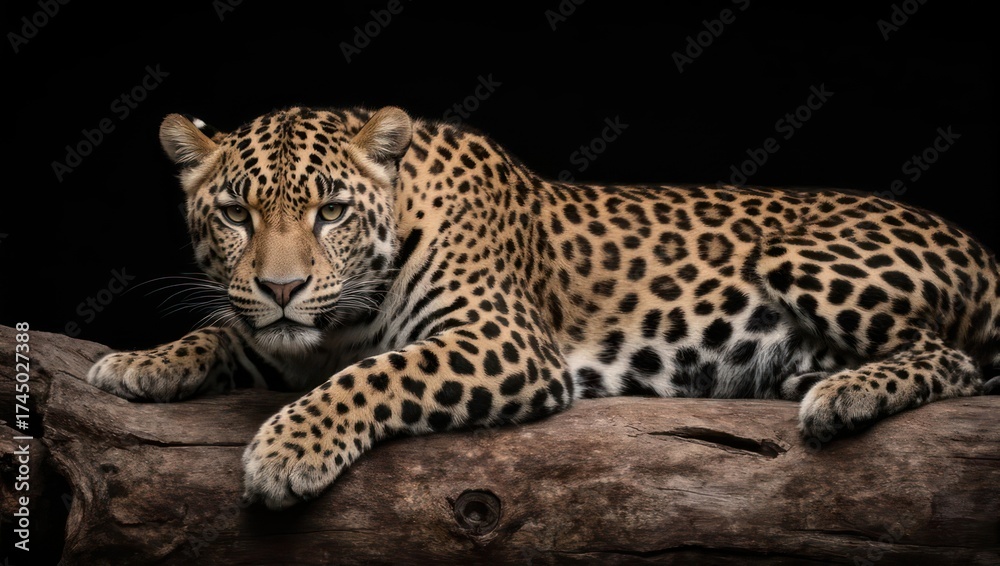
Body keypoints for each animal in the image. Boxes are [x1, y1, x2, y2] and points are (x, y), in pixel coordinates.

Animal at [87, 105, 1000, 509]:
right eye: (236, 213)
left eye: (332, 212)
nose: (281, 287)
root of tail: (982, 248)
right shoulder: (286, 331)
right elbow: (225, 330)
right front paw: (137, 363)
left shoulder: (501, 340)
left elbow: (373, 376)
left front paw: (286, 451)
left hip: (799, 254)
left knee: (953, 357)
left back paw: (840, 397)